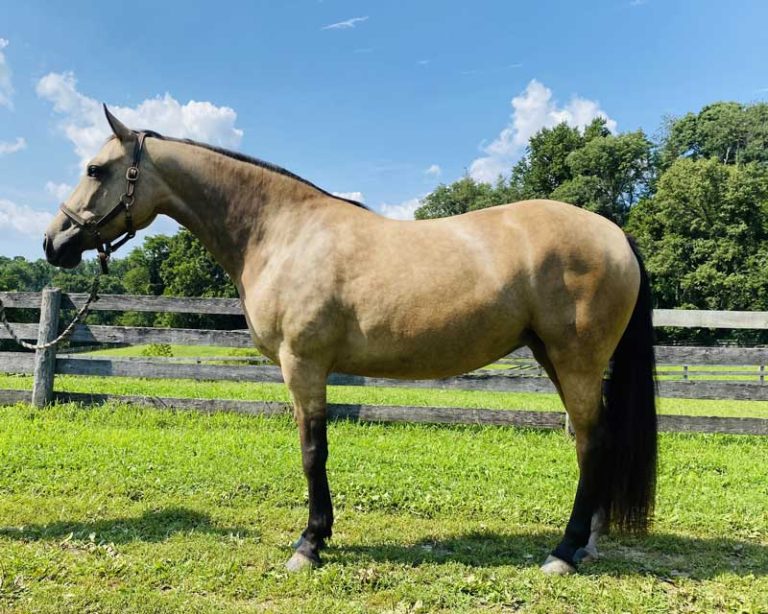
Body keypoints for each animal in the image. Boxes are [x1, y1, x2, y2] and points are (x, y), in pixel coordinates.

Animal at [43, 106, 657, 575]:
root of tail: (615, 233)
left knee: (590, 442)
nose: (54, 242)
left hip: (575, 362)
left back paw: (564, 553)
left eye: (96, 168)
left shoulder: (304, 366)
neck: (281, 232)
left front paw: (310, 544)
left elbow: (313, 452)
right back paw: (587, 544)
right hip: (555, 357)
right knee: (595, 443)